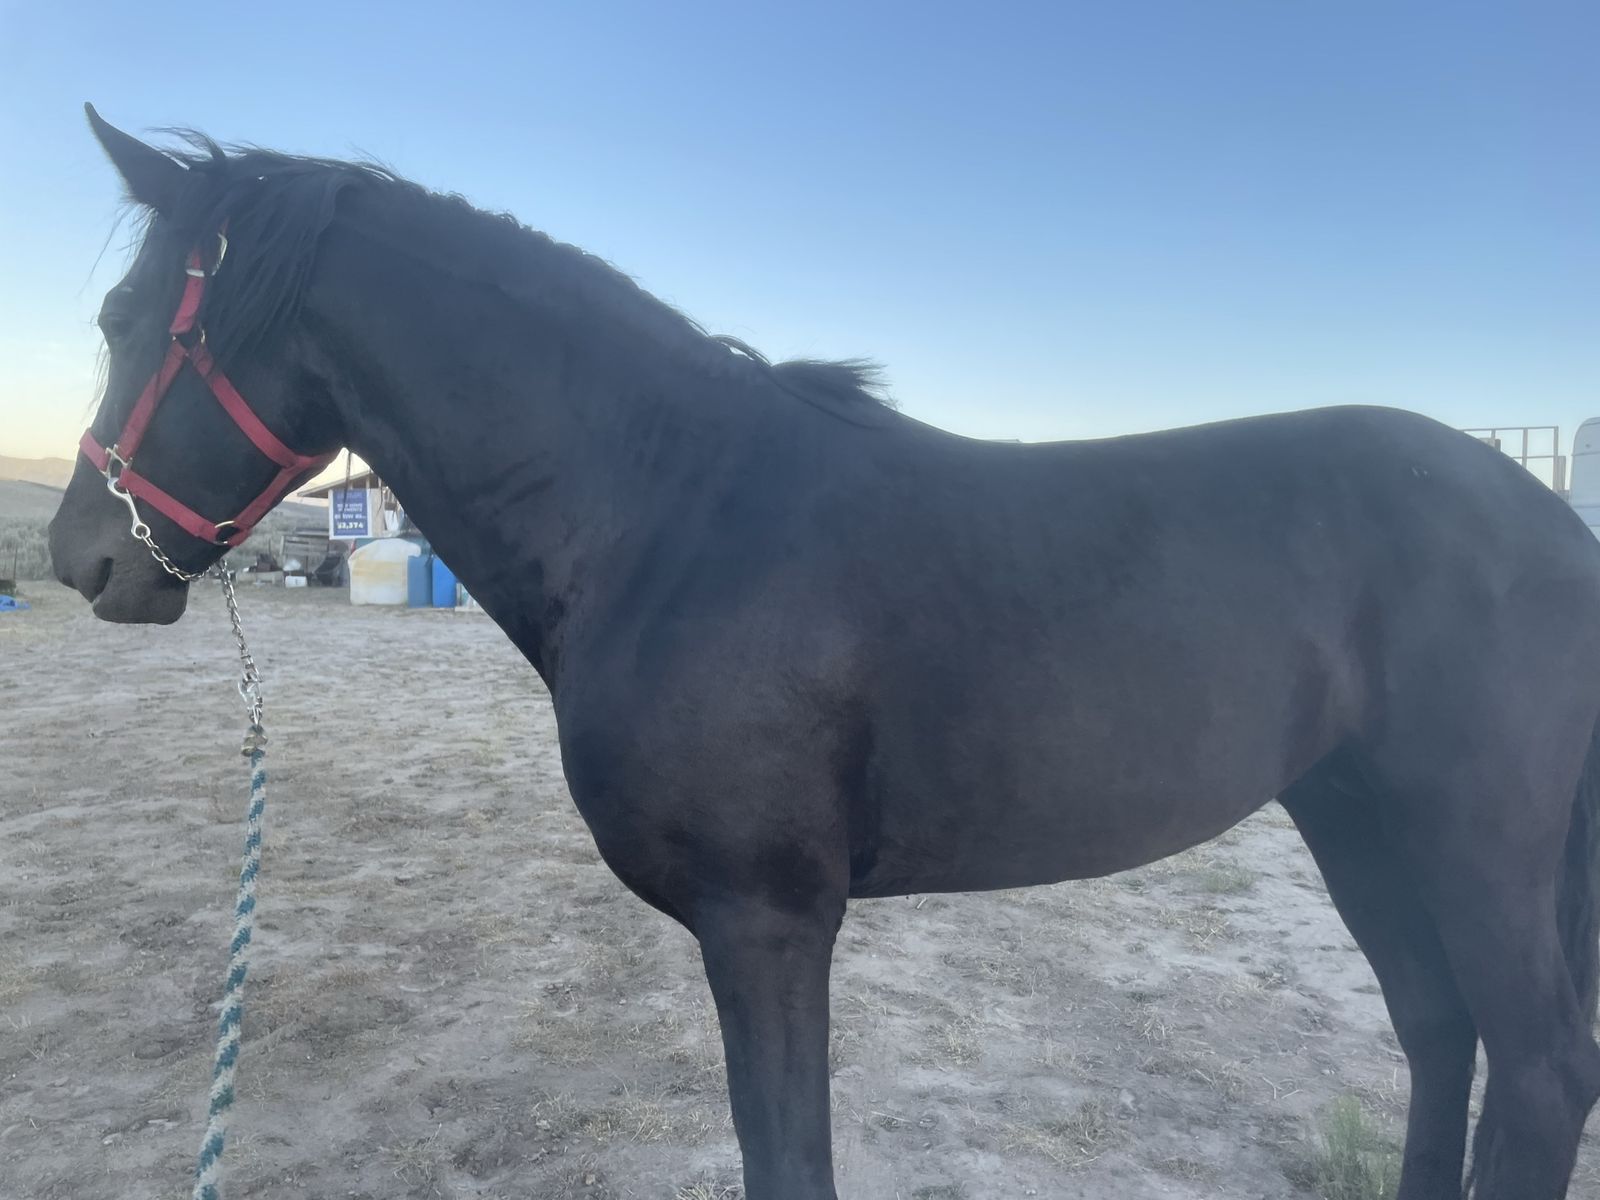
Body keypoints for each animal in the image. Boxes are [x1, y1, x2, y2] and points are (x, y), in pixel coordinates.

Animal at [48, 106, 1600, 1200]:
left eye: (125, 322)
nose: (81, 558)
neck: (668, 511)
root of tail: (1548, 518)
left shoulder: (769, 924)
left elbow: (789, 1160)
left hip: (1471, 843)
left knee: (1533, 1070)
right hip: (1356, 820)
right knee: (1438, 1034)